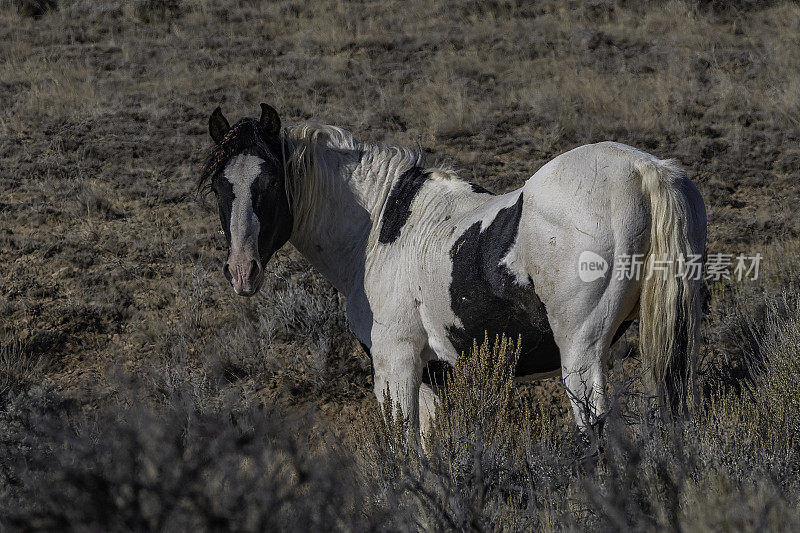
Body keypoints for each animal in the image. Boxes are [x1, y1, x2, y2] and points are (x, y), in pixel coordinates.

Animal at [198, 103, 708, 432]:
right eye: (220, 186)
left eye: (270, 183)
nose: (242, 271)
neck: (380, 226)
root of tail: (646, 170)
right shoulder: (431, 376)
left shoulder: (396, 362)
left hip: (582, 354)